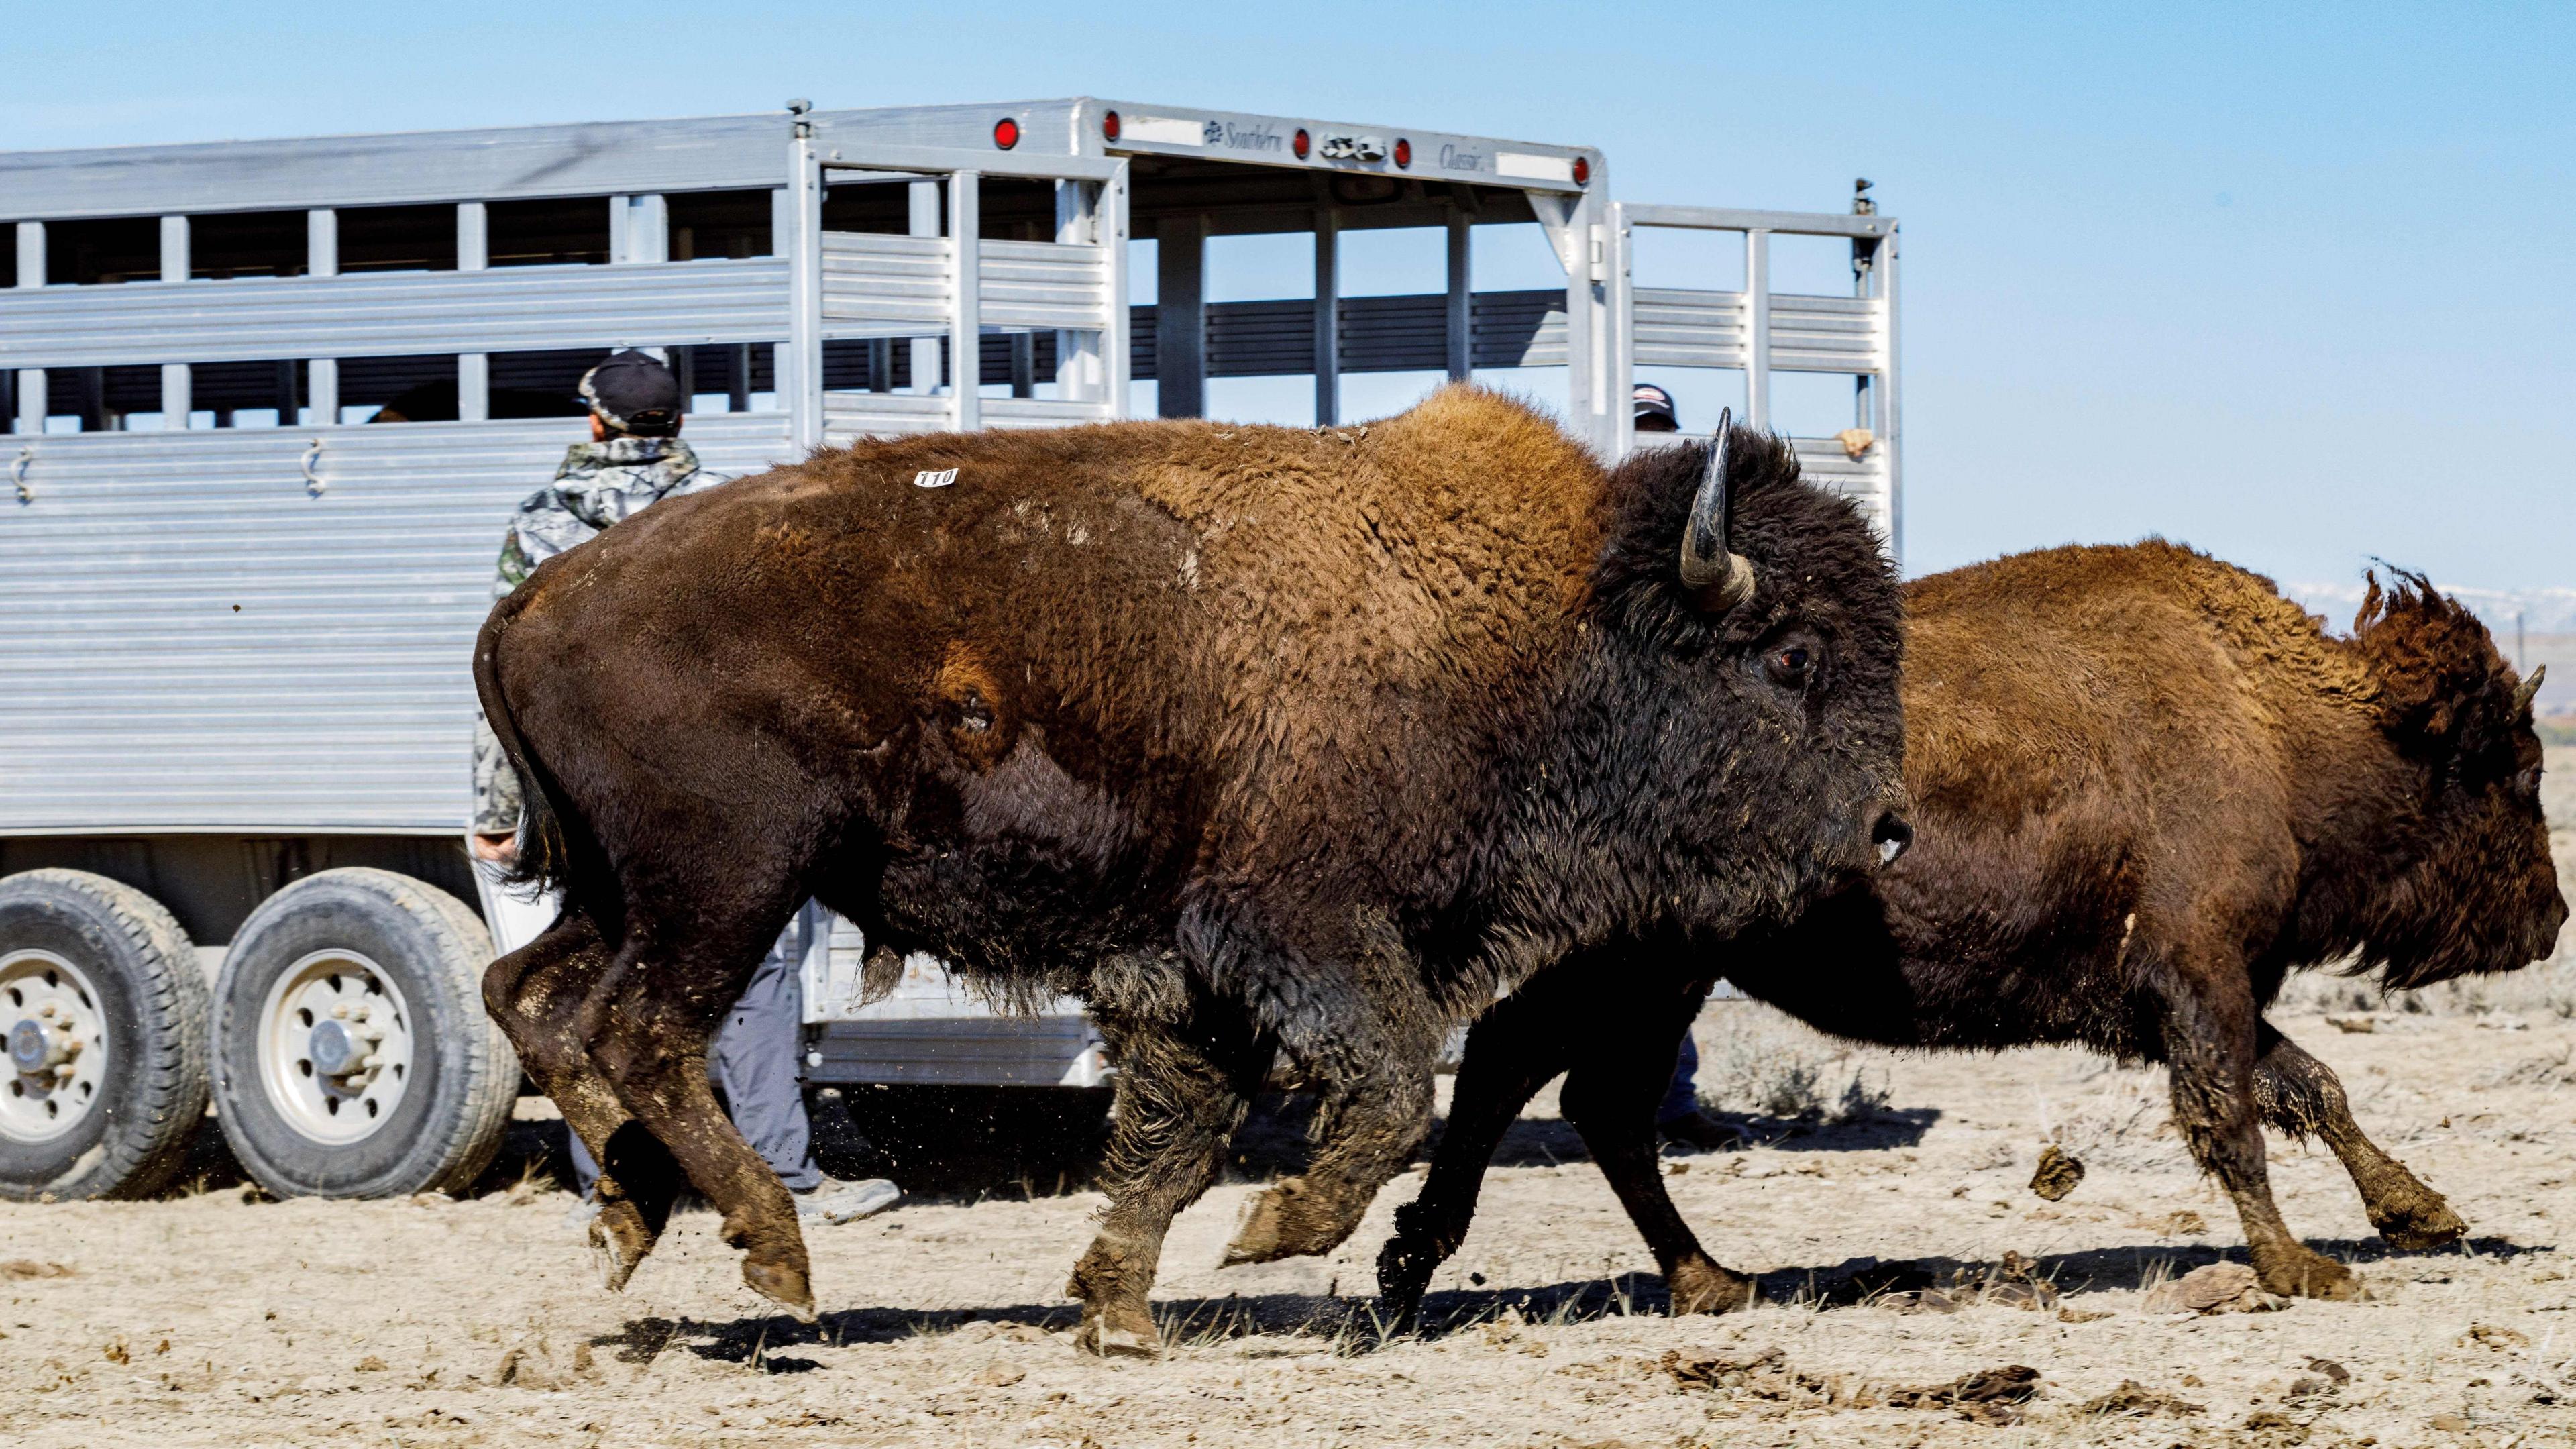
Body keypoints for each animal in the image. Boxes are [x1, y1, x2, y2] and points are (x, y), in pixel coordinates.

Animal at [468, 389, 1916, 1350]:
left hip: (624, 891)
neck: (1547, 628)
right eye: (1791, 656)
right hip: (730, 882)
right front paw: (1274, 1233)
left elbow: (1179, 1127)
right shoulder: (1298, 930)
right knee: (640, 1030)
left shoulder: (1185, 968)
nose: (1892, 829)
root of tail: (532, 600)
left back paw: (631, 1216)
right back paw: (770, 1253)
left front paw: (1117, 1310)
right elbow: (1386, 1093)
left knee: (529, 996)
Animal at [1381, 536, 2565, 1315]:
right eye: (2515, 771)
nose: (2552, 919)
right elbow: (2235, 1115)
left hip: (1656, 976)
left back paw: (1699, 1281)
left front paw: (2423, 1215)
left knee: (1585, 1095)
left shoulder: (2182, 992)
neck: (2280, 722)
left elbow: (2312, 1086)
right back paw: (1435, 1267)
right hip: (1630, 966)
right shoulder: (2200, 975)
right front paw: (2300, 1268)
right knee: (1536, 1071)